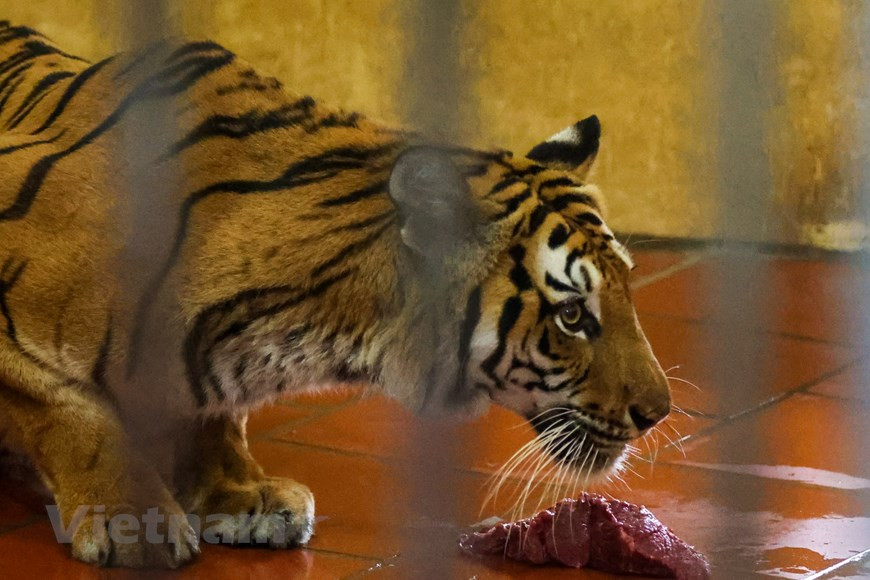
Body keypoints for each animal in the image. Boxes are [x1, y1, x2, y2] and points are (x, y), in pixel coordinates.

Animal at [0, 21, 670, 568]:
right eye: (573, 315)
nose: (658, 414)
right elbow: (73, 414)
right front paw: (132, 520)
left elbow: (211, 411)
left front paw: (239, 494)